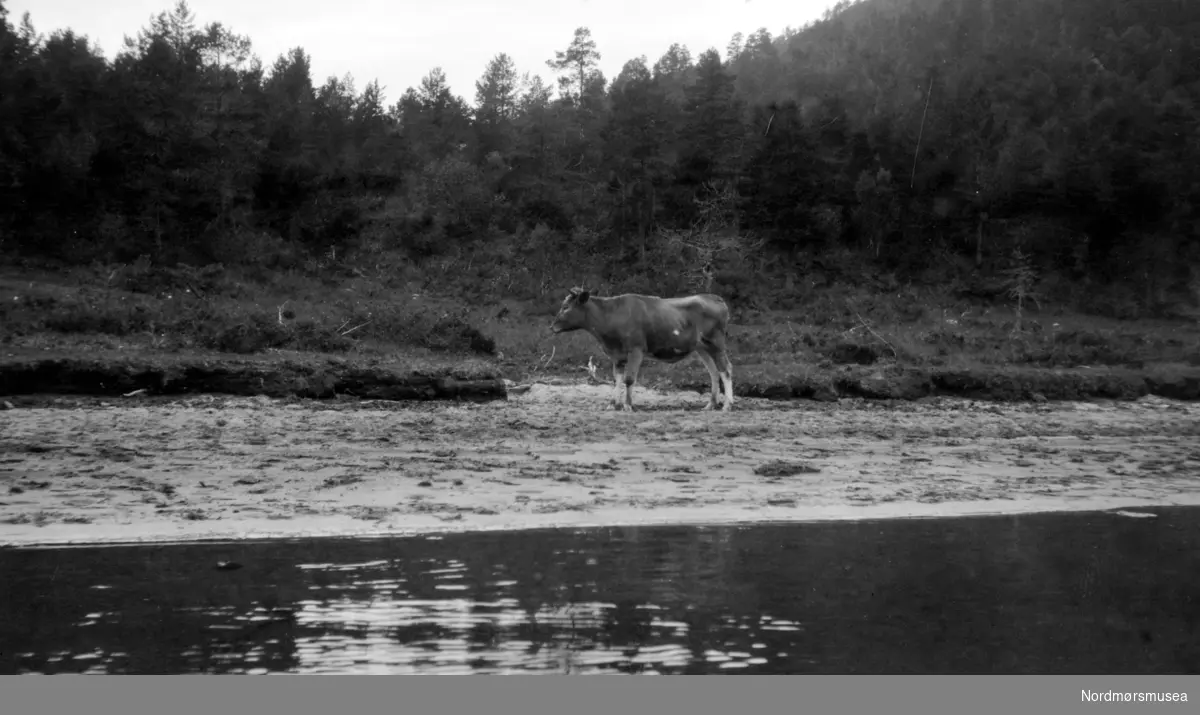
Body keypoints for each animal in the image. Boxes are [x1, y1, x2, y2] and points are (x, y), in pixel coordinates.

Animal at [549, 287, 734, 412]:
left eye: (566, 307)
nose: (552, 327)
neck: (611, 316)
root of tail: (714, 297)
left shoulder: (636, 350)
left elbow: (629, 379)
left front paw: (628, 405)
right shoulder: (616, 354)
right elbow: (617, 379)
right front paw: (613, 404)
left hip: (716, 343)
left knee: (725, 370)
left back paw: (727, 404)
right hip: (702, 347)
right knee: (714, 372)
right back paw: (710, 404)